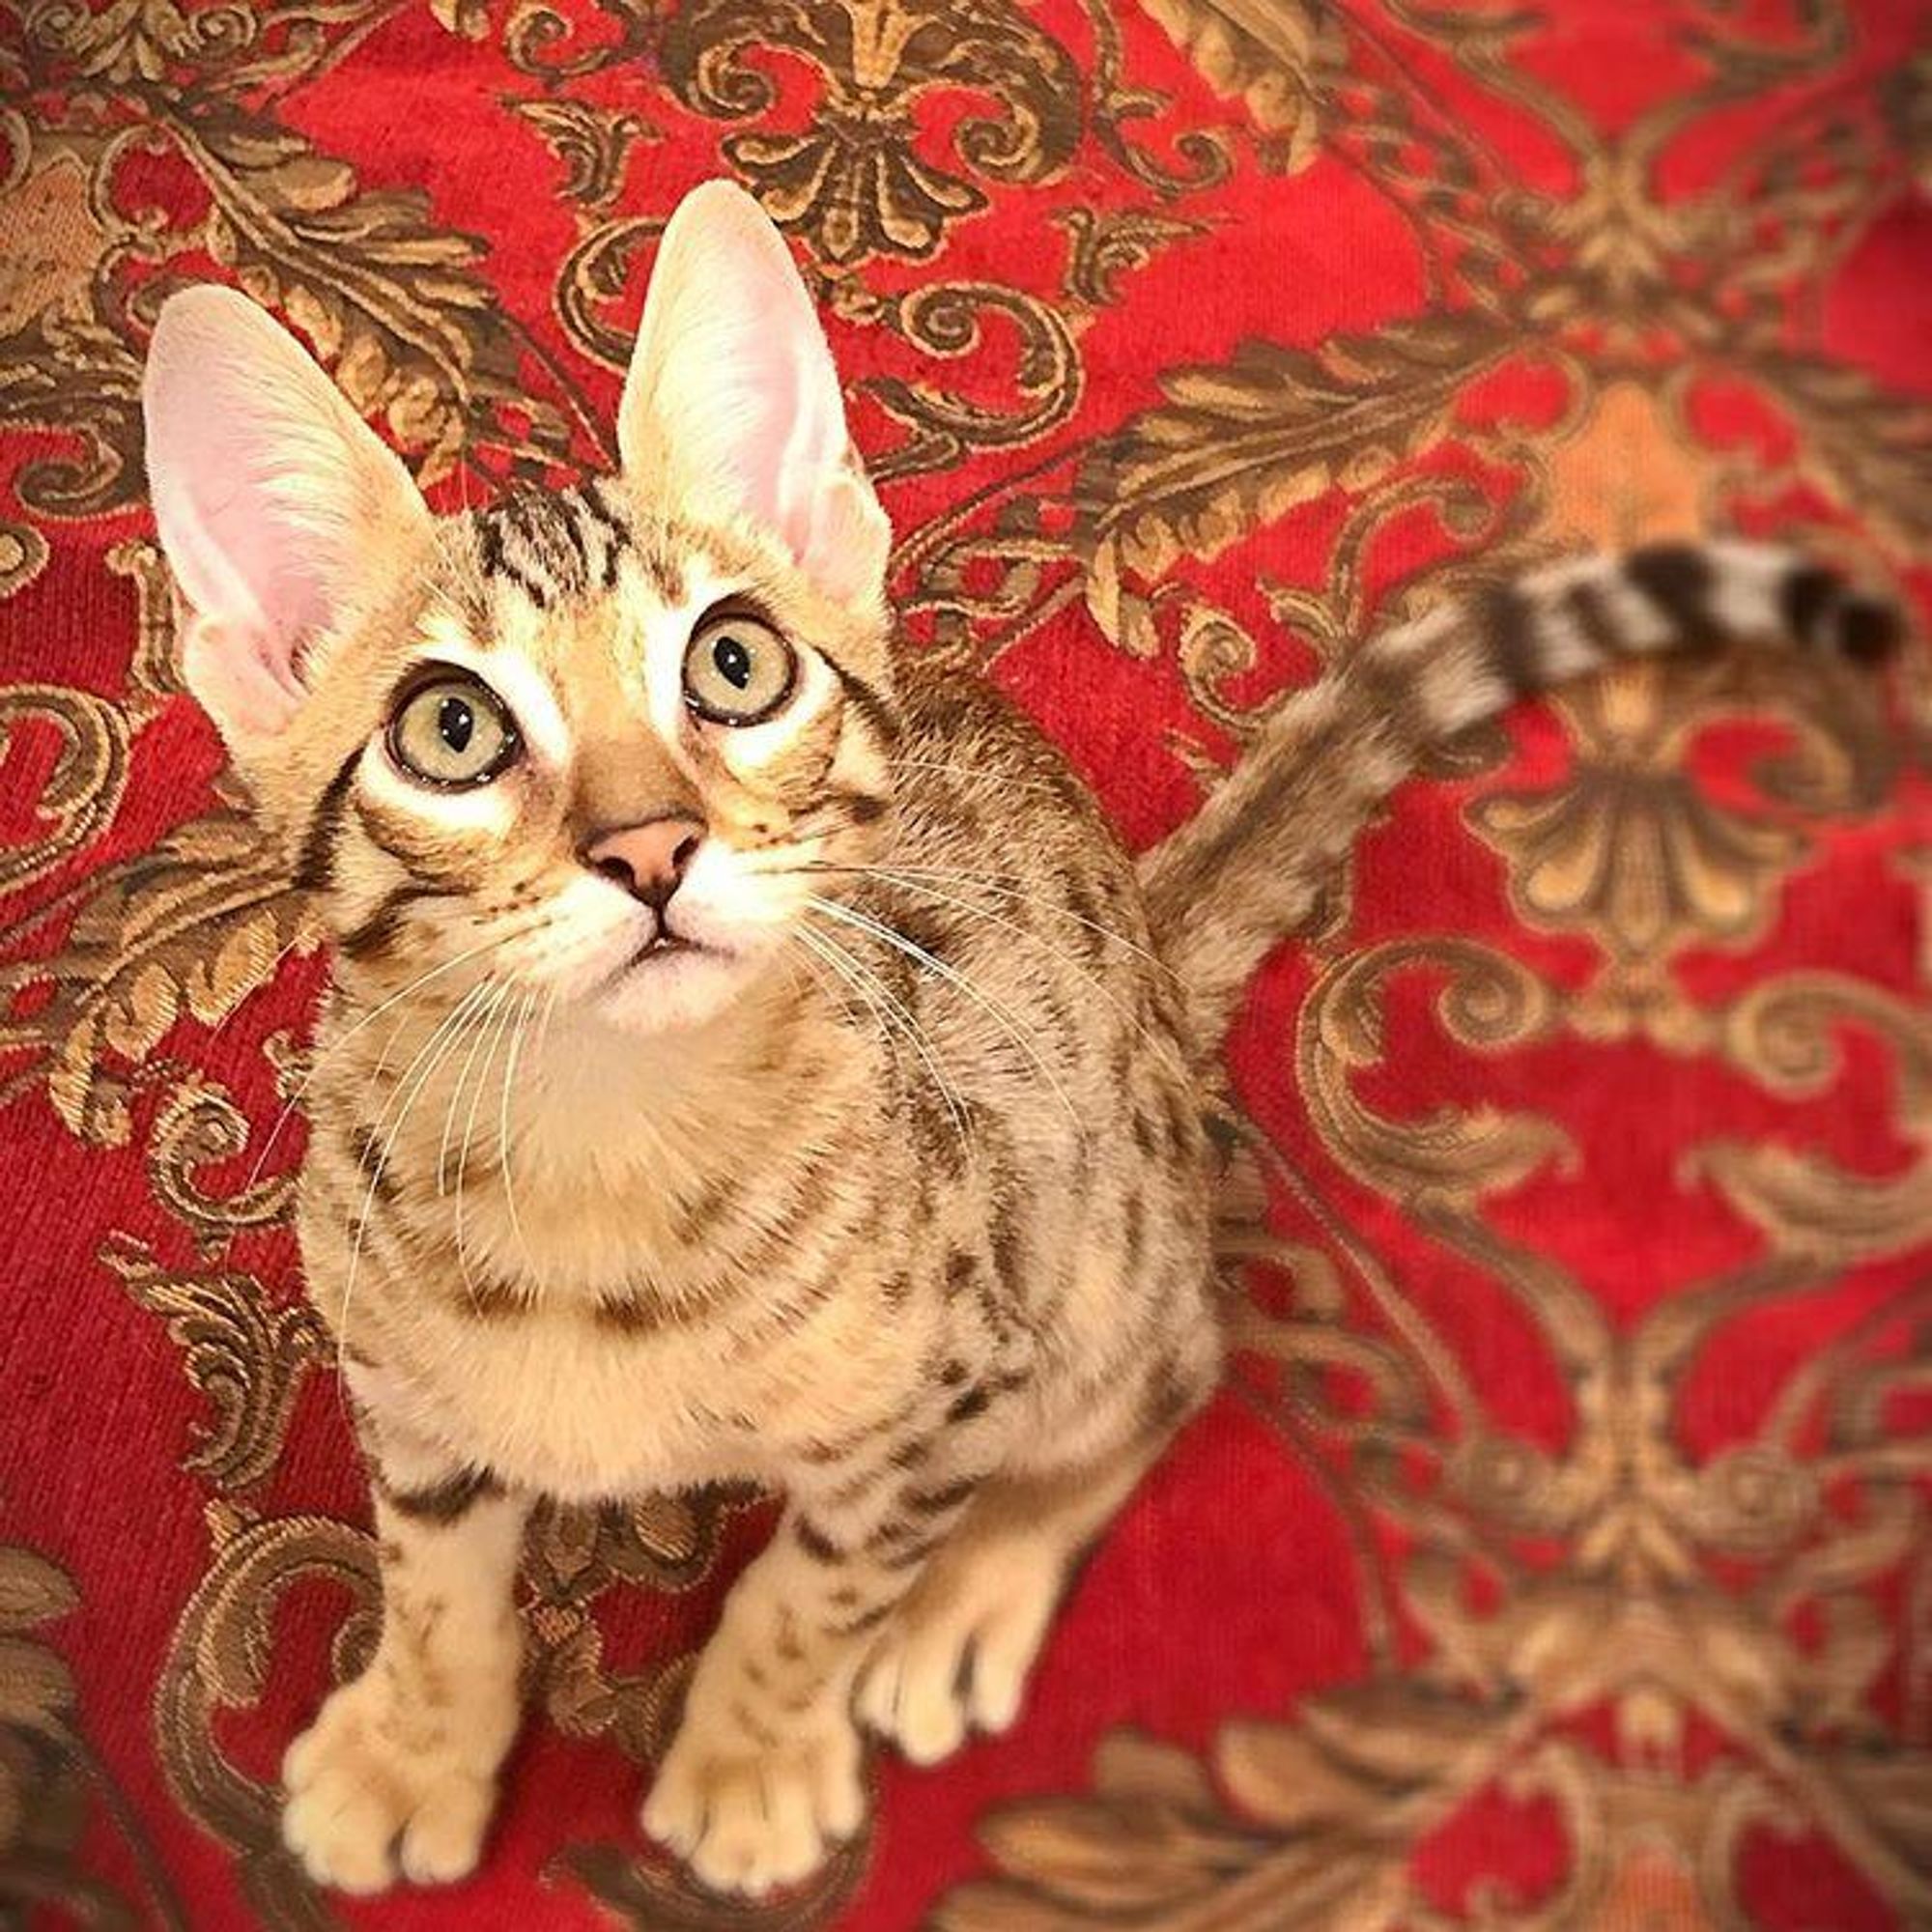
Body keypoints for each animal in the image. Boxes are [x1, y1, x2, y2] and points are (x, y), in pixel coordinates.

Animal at [140, 174, 1901, 1893]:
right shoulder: (398, 1383)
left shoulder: (948, 1378)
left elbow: (815, 1590)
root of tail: (1146, 942)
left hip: (1093, 1243)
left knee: (1168, 1371)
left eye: (733, 662)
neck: (603, 1149)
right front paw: (413, 1747)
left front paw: (759, 1756)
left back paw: (966, 1597)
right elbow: (433, 1580)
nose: (649, 849)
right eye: (450, 730)